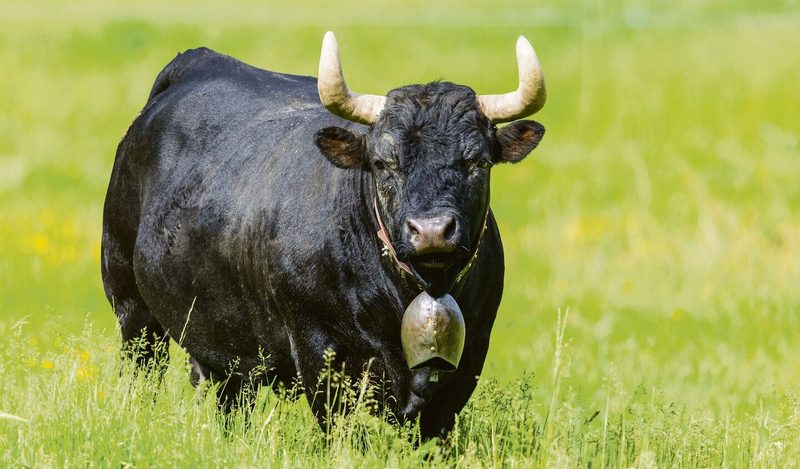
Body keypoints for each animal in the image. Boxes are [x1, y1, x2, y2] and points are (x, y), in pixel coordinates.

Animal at [101, 32, 546, 438]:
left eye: (478, 161)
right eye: (383, 163)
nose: (432, 231)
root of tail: (196, 61)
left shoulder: (471, 352)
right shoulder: (318, 349)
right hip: (132, 308)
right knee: (142, 375)